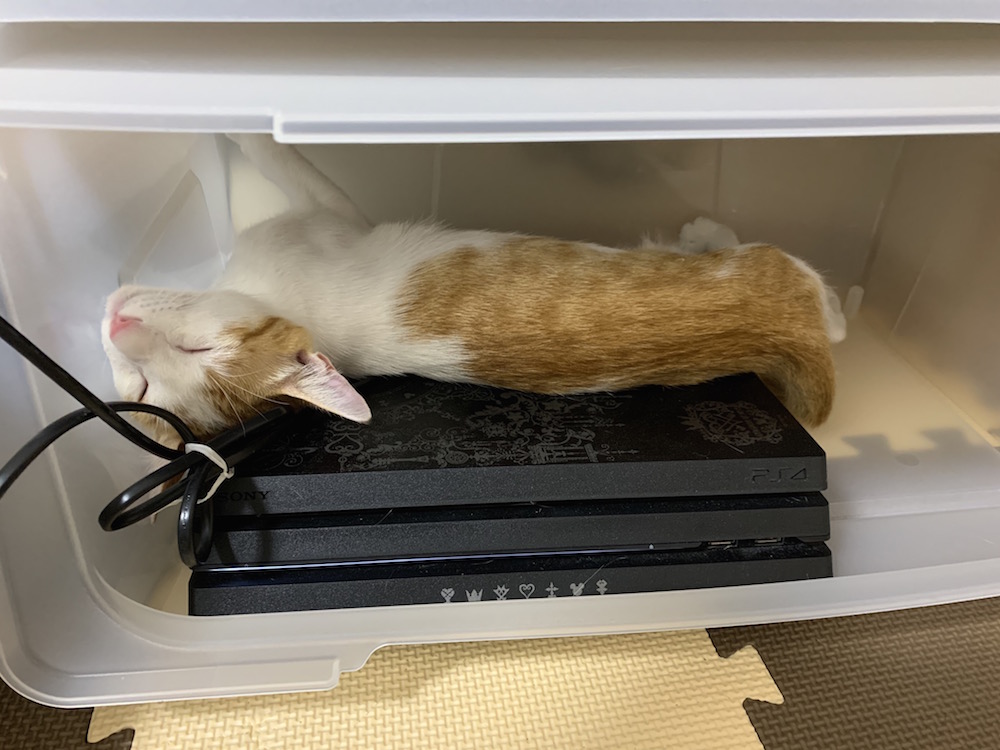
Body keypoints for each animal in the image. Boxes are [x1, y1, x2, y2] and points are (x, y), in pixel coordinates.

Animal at [102, 134, 846, 449]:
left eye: (198, 350)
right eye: (144, 388)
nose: (114, 327)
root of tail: (800, 341)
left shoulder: (329, 208)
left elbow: (268, 153)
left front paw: (210, 131)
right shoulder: (327, 213)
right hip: (773, 263)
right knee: (823, 301)